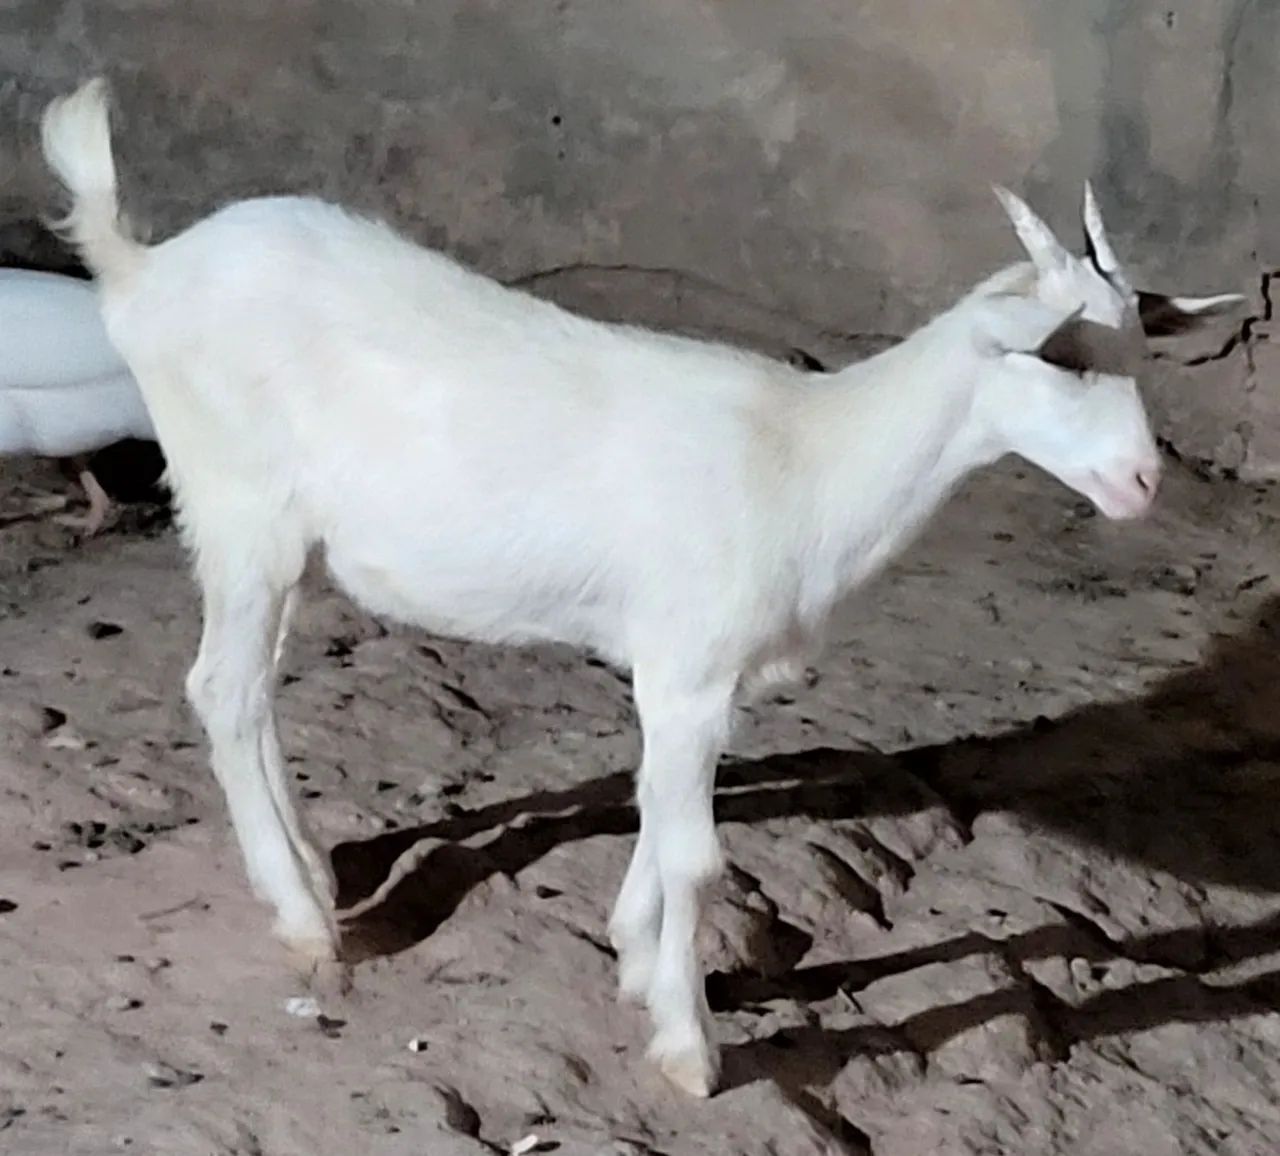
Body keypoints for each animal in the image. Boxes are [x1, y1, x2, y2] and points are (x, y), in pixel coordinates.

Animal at [40, 77, 1241, 1097]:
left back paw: (316, 876)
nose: (1142, 481)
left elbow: (659, 824)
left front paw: (629, 957)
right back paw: (300, 922)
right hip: (239, 510)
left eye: (1138, 349)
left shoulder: (696, 680)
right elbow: (698, 857)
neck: (808, 457)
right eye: (1059, 358)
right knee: (222, 690)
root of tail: (141, 269)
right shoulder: (687, 667)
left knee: (255, 692)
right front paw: (686, 1045)